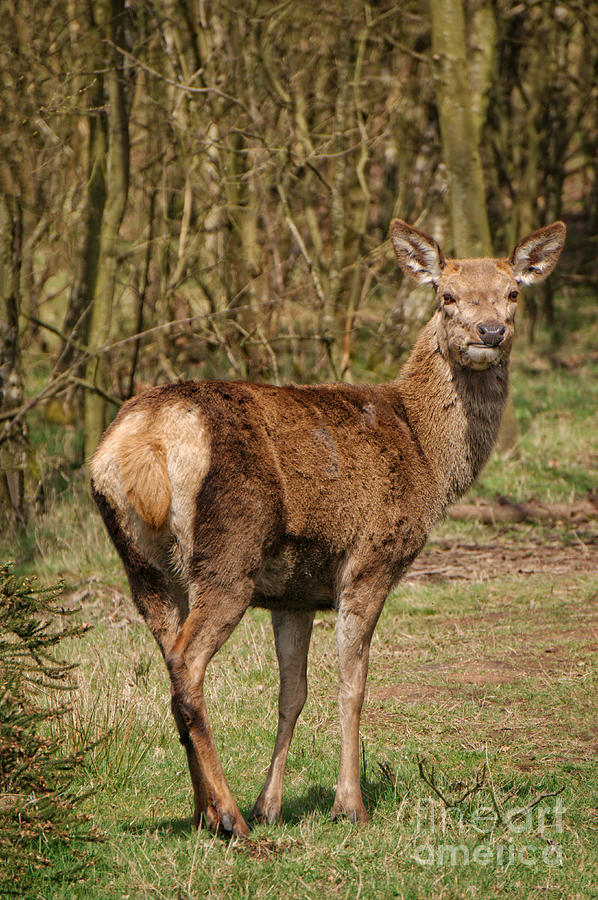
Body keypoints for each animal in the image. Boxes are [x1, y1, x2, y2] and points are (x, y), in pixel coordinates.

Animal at [89, 218, 568, 836]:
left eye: (513, 292)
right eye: (447, 296)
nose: (491, 331)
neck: (426, 455)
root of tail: (139, 444)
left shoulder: (295, 591)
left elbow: (292, 691)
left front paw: (272, 804)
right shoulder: (372, 557)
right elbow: (352, 684)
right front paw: (350, 804)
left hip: (141, 563)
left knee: (170, 663)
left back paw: (205, 812)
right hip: (229, 550)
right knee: (186, 664)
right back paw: (230, 818)